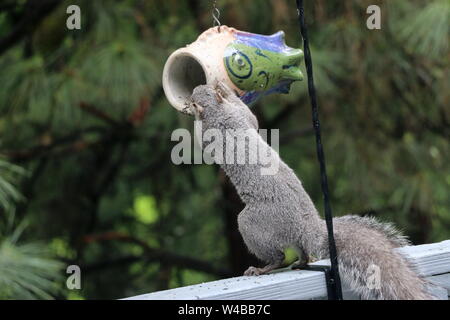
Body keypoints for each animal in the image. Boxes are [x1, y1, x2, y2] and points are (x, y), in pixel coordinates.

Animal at [187, 82, 436, 300]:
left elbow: (202, 139)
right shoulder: (240, 116)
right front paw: (225, 89)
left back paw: (262, 268)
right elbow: (250, 116)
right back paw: (300, 262)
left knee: (278, 256)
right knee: (303, 253)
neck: (218, 111)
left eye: (193, 98)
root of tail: (306, 227)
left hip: (253, 223)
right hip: (292, 239)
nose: (189, 100)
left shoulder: (213, 131)